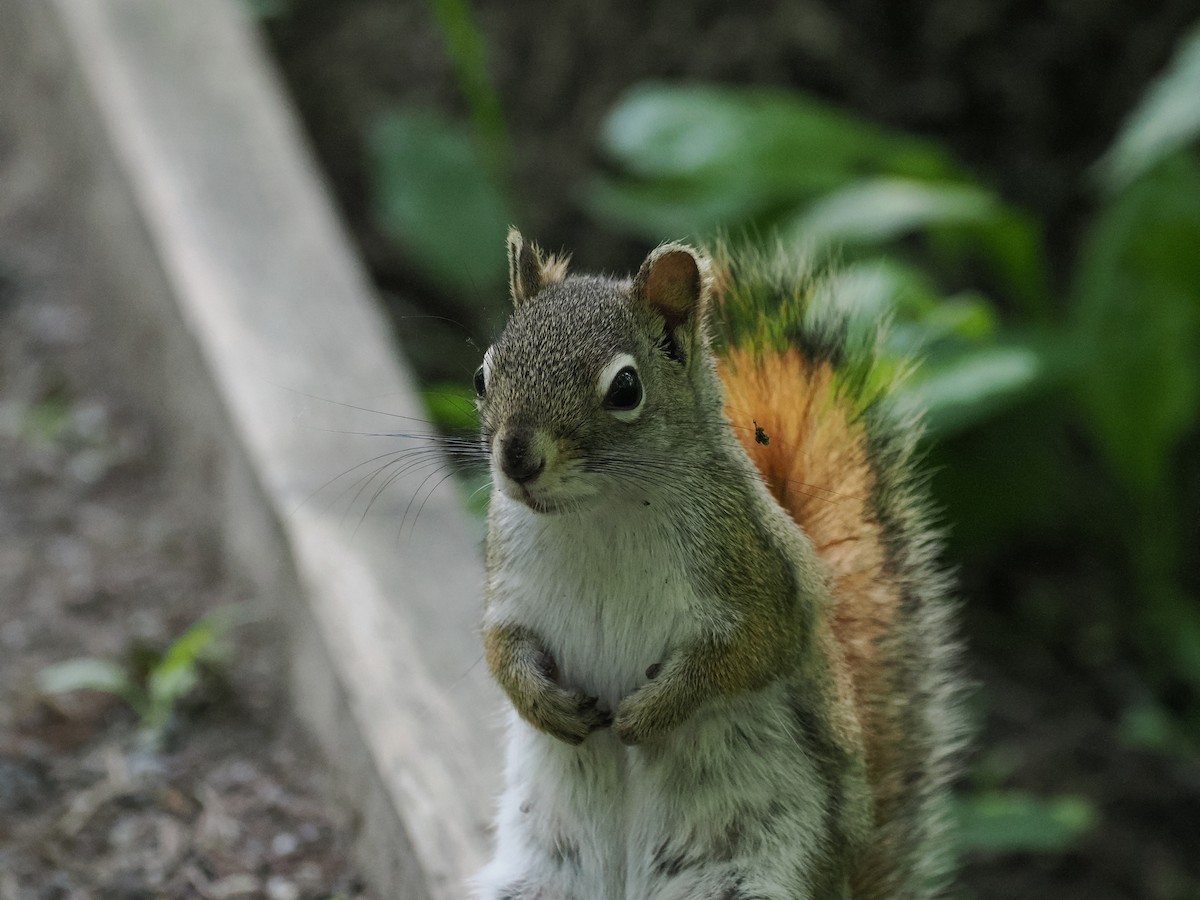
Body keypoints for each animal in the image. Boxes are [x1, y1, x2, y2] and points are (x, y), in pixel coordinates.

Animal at [473, 229, 960, 900]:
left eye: (625, 389)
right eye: (482, 375)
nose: (516, 457)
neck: (597, 514)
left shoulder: (759, 578)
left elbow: (749, 654)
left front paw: (652, 713)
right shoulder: (511, 584)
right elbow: (501, 648)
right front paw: (543, 704)